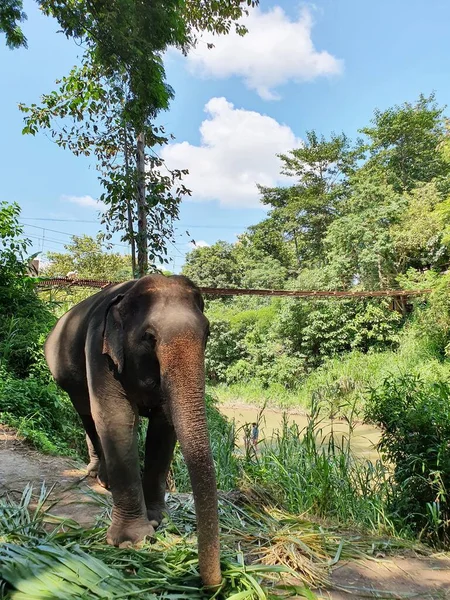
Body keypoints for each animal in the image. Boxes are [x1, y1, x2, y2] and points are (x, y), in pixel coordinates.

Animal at [44, 274, 221, 588]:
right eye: (149, 338)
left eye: (207, 333)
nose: (215, 582)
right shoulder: (98, 348)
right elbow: (116, 418)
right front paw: (131, 541)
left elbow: (164, 426)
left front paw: (158, 520)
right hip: (67, 376)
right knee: (87, 413)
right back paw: (100, 478)